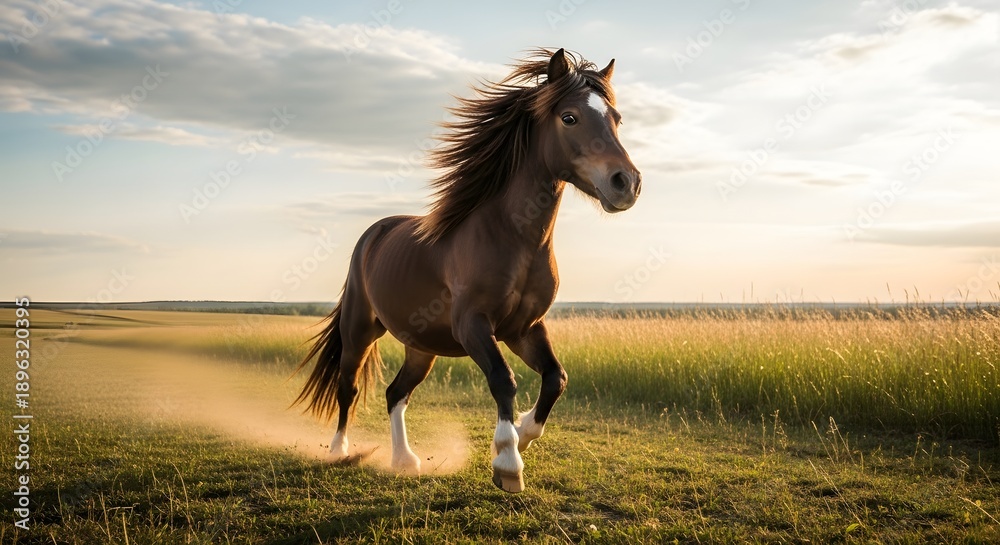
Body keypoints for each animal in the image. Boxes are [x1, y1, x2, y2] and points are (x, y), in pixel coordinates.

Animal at [294, 48, 641, 493]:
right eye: (569, 117)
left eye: (616, 118)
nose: (626, 183)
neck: (513, 236)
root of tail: (374, 233)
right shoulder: (473, 325)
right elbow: (504, 379)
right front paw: (508, 462)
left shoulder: (524, 328)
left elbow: (555, 378)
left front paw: (523, 435)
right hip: (359, 330)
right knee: (348, 386)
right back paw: (339, 450)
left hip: (421, 347)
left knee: (395, 393)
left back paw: (404, 460)